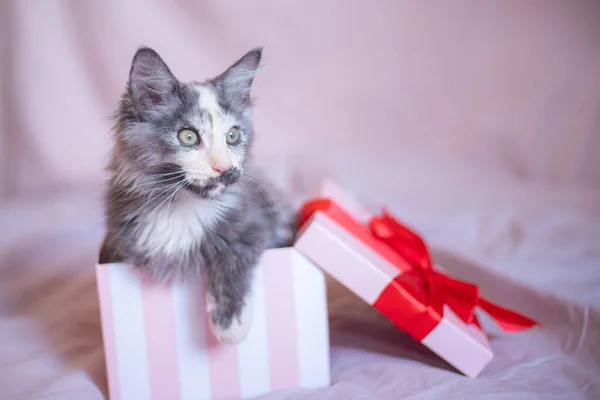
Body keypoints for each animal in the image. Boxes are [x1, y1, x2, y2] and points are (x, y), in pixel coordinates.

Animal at [99, 46, 296, 344]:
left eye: (233, 136)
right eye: (188, 137)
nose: (225, 168)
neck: (180, 208)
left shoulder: (257, 220)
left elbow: (233, 255)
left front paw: (229, 323)